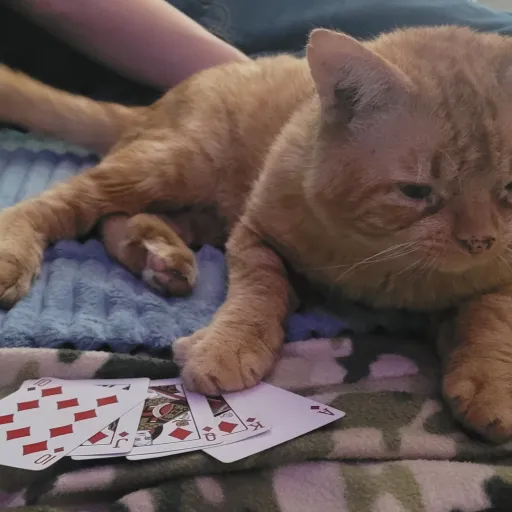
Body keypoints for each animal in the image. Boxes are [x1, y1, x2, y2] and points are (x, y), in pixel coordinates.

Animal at [0, 26, 511, 442]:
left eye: (509, 189)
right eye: (417, 191)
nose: (480, 241)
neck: (387, 266)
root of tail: (157, 103)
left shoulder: (499, 282)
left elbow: (489, 319)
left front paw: (490, 384)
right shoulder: (253, 236)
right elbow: (260, 290)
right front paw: (229, 347)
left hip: (199, 210)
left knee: (117, 219)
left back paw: (159, 256)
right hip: (180, 165)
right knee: (67, 200)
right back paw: (17, 253)